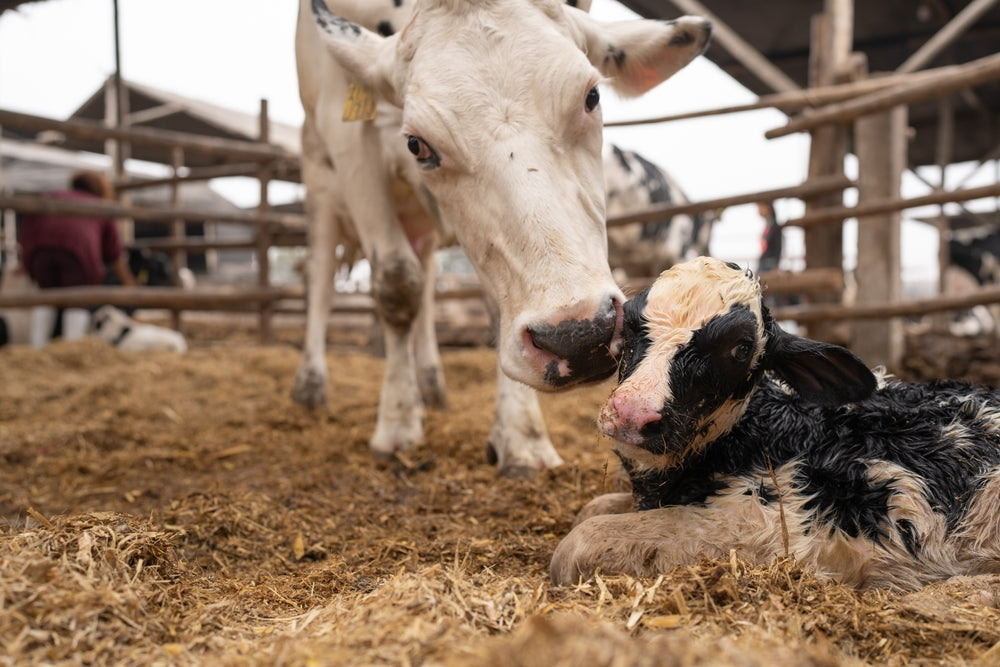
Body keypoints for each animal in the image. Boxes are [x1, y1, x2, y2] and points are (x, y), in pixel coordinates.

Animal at [551, 256, 1000, 590]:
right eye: (628, 324)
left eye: (740, 348)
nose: (633, 413)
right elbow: (593, 508)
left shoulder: (775, 523)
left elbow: (583, 539)